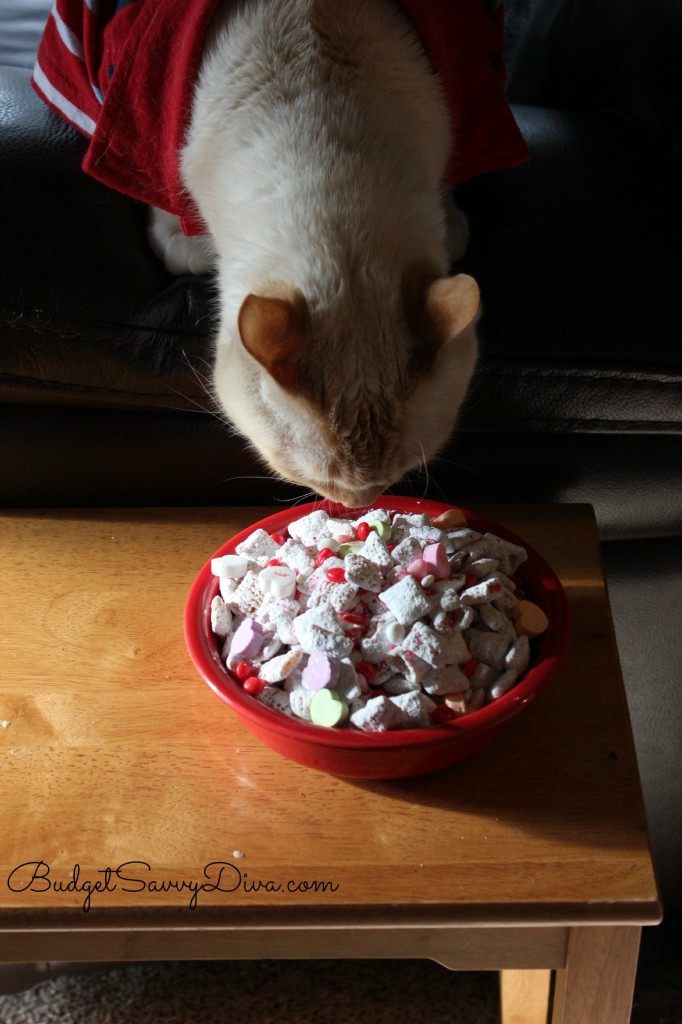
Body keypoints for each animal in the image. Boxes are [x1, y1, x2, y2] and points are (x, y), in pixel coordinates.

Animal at [147, 0, 483, 505]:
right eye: (317, 479)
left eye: (403, 470)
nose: (357, 505)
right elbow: (162, 190)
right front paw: (179, 238)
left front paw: (453, 218)